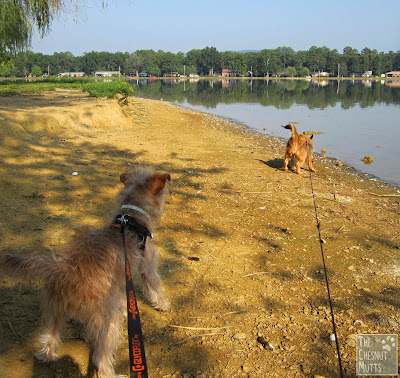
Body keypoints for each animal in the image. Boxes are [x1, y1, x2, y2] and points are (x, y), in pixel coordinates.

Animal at [3, 165, 171, 378]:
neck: (131, 219)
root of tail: (64, 271)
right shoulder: (147, 268)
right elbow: (155, 288)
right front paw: (163, 305)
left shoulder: (120, 282)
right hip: (107, 323)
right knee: (100, 357)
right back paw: (112, 373)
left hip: (56, 310)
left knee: (49, 337)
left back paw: (48, 355)